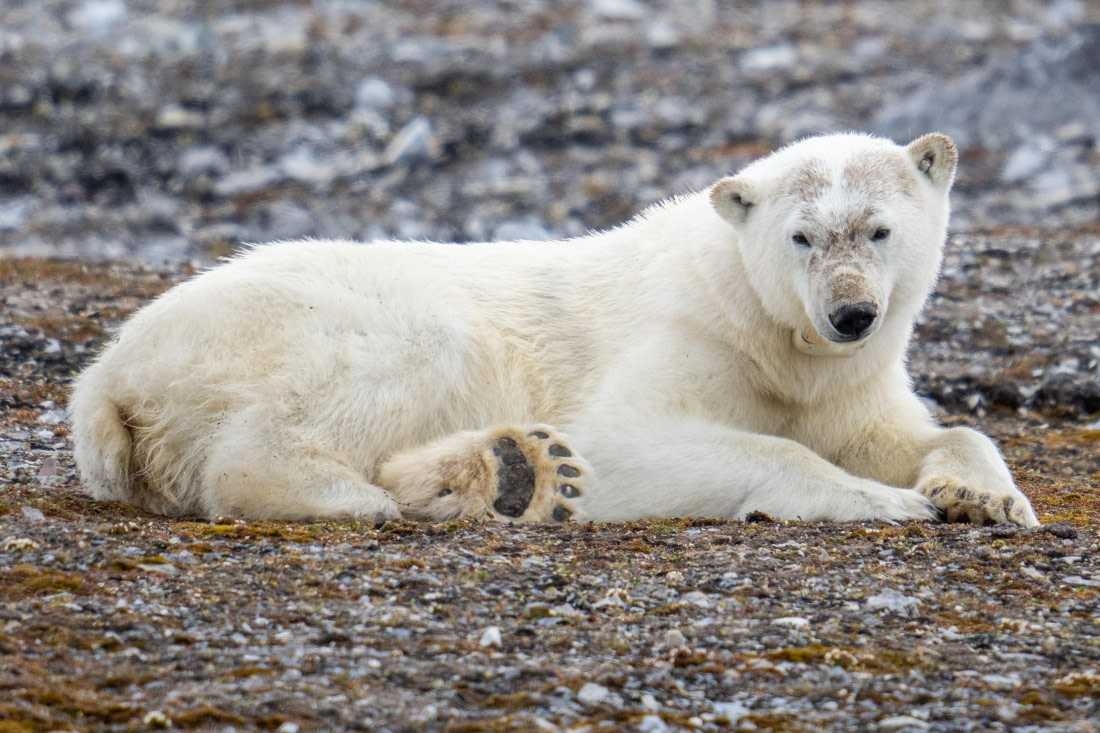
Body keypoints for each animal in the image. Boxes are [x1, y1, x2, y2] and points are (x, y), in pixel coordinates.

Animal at [69, 132, 1040, 528]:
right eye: (802, 236)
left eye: (877, 229)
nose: (850, 313)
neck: (764, 324)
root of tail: (107, 373)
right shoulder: (687, 337)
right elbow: (635, 433)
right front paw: (891, 500)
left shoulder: (844, 379)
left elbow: (920, 430)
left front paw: (981, 494)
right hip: (304, 324)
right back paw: (353, 493)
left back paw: (513, 472)